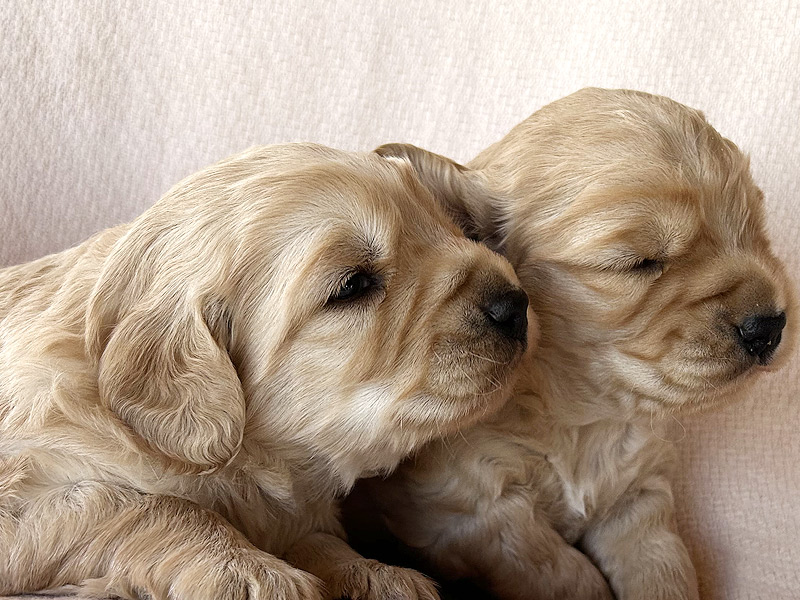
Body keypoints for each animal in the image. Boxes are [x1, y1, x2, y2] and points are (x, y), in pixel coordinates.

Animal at [0, 143, 532, 596]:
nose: (516, 305)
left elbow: (314, 536)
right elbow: (137, 501)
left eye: (447, 226)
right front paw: (250, 571)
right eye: (352, 285)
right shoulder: (22, 496)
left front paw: (372, 572)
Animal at [354, 89, 796, 600]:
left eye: (754, 231)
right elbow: (553, 565)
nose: (769, 326)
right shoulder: (470, 508)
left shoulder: (639, 494)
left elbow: (663, 568)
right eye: (638, 262)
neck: (583, 417)